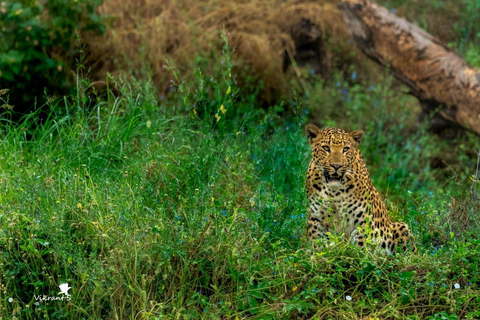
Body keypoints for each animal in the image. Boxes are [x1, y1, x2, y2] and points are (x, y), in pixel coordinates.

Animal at [306, 124, 414, 254]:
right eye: (326, 148)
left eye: (346, 149)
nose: (336, 166)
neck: (334, 192)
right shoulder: (315, 218)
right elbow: (318, 244)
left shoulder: (363, 221)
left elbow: (360, 247)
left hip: (401, 227)